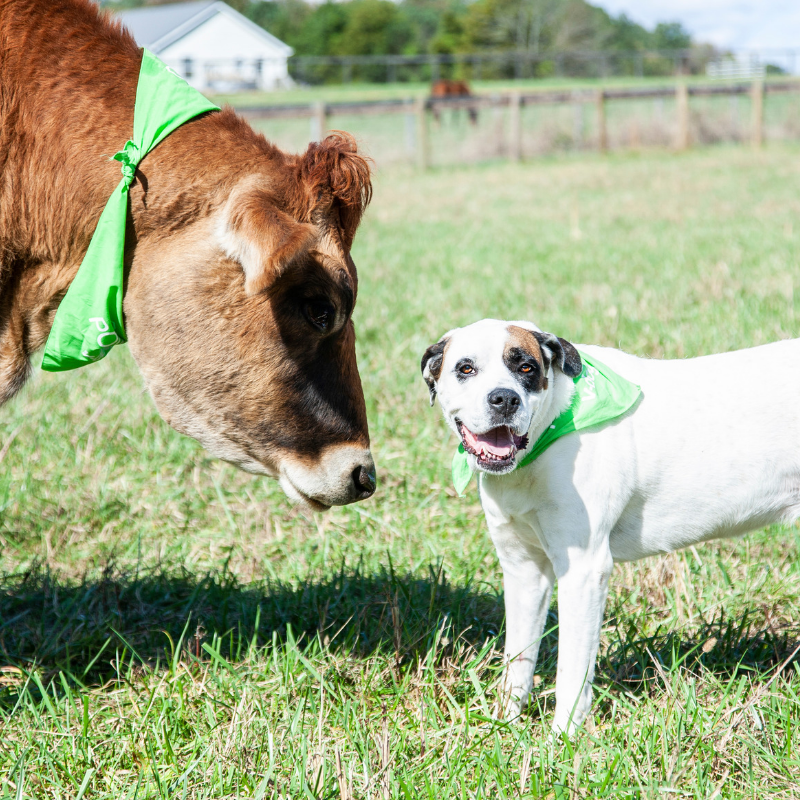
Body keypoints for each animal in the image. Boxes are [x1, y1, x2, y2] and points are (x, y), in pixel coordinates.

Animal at [418, 318, 800, 732]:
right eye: (466, 368)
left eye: (527, 368)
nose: (504, 399)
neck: (548, 434)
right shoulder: (523, 570)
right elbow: (517, 659)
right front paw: (505, 725)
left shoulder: (584, 571)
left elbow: (572, 671)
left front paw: (562, 739)